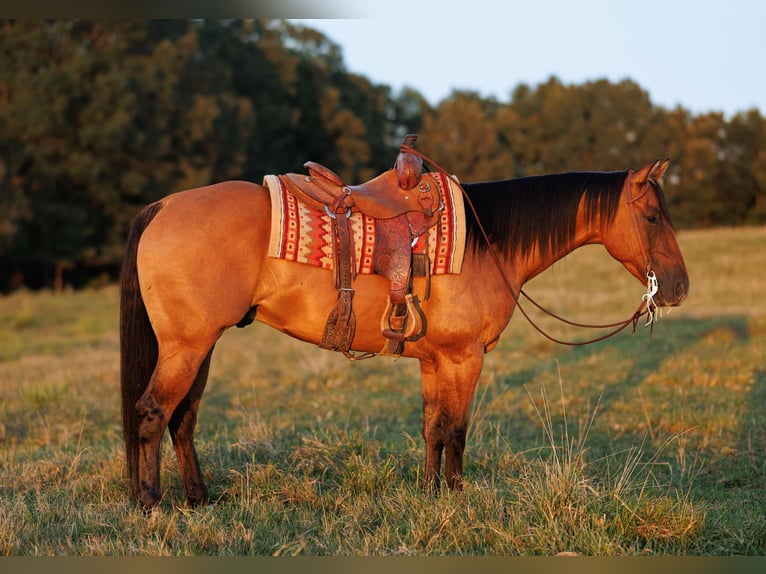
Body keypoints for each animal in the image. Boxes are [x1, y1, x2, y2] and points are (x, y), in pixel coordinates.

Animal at [120, 158, 689, 511]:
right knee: (152, 412)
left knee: (183, 419)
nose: (680, 286)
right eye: (652, 216)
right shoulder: (464, 358)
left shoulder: (436, 361)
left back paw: (198, 499)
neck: (486, 241)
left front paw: (431, 492)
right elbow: (457, 429)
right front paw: (457, 496)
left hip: (202, 346)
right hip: (187, 347)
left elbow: (432, 428)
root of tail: (163, 206)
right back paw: (151, 504)